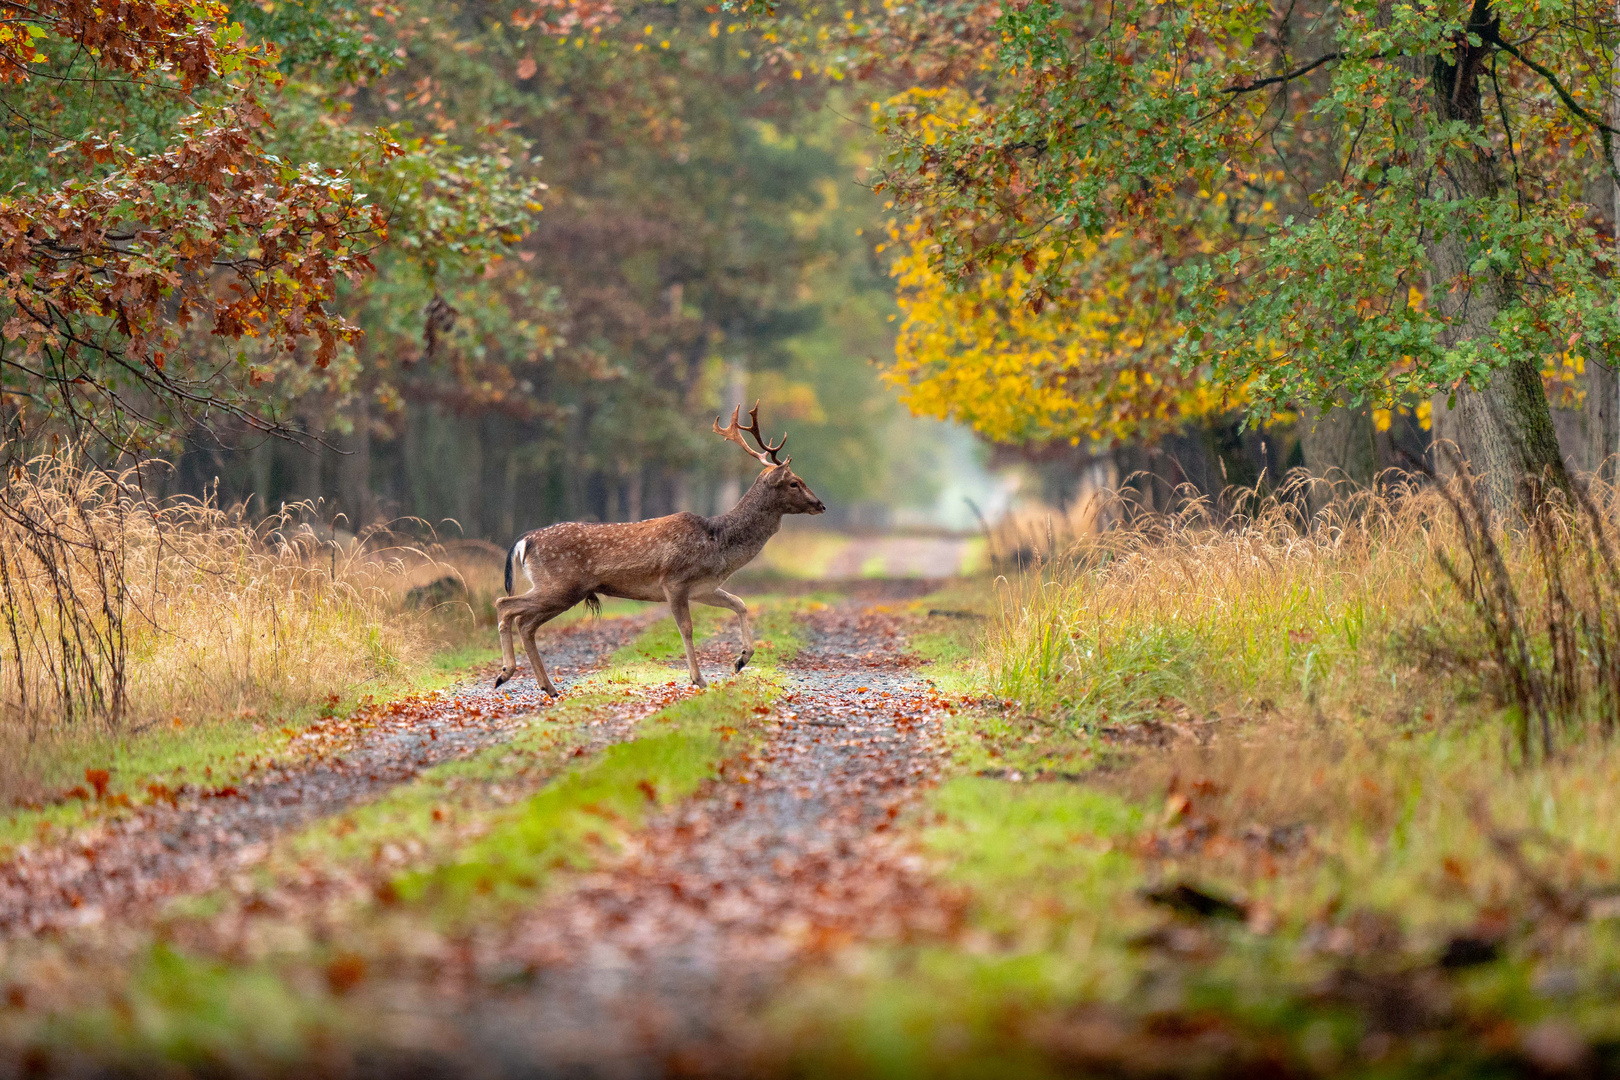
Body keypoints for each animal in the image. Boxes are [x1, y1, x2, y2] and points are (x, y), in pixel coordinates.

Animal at [489, 403, 822, 693]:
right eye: (794, 482)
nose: (820, 504)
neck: (717, 544)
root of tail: (525, 540)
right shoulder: (673, 581)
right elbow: (686, 628)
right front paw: (699, 679)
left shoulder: (703, 587)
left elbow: (740, 603)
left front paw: (740, 660)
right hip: (560, 585)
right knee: (505, 605)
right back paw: (505, 673)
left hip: (561, 590)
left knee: (525, 623)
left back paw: (546, 686)